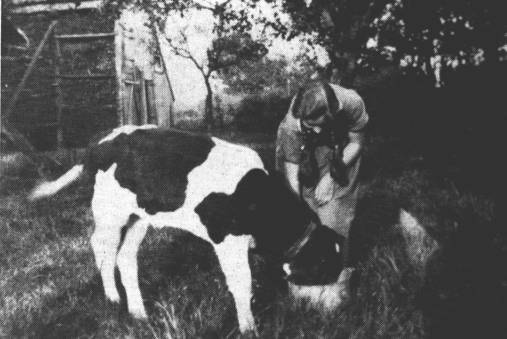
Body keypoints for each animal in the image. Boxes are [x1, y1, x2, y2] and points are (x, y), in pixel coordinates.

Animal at [30, 125, 346, 334]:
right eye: (325, 270)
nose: (338, 311)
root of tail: (97, 144)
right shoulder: (226, 240)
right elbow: (242, 283)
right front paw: (249, 328)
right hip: (110, 212)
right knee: (102, 248)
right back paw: (112, 297)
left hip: (139, 218)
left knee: (125, 257)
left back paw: (139, 313)